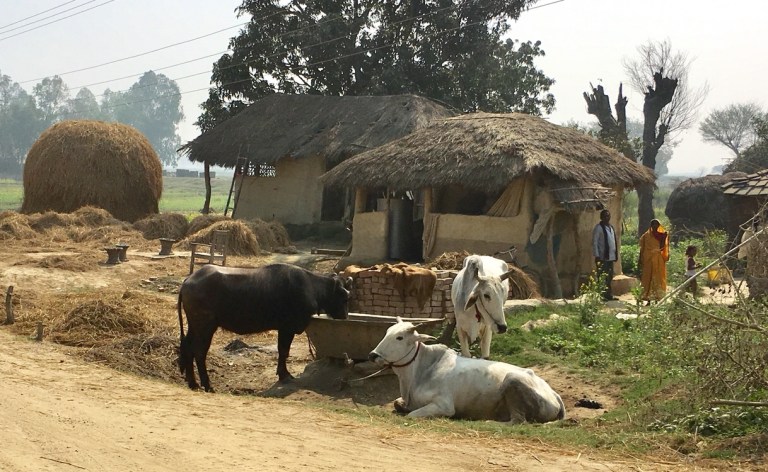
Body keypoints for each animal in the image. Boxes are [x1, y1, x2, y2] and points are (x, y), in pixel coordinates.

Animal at [177, 263, 351, 392]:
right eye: (344, 298)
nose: (344, 316)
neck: (311, 287)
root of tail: (188, 280)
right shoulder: (287, 328)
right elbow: (284, 351)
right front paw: (284, 375)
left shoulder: (283, 328)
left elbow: (282, 351)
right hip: (205, 327)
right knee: (199, 352)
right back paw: (207, 385)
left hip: (194, 326)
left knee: (187, 347)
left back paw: (193, 383)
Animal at [368, 319, 565, 423]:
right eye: (387, 332)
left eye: (400, 337)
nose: (373, 355)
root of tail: (554, 394)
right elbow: (398, 404)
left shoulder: (444, 405)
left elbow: (411, 415)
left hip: (512, 380)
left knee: (518, 421)